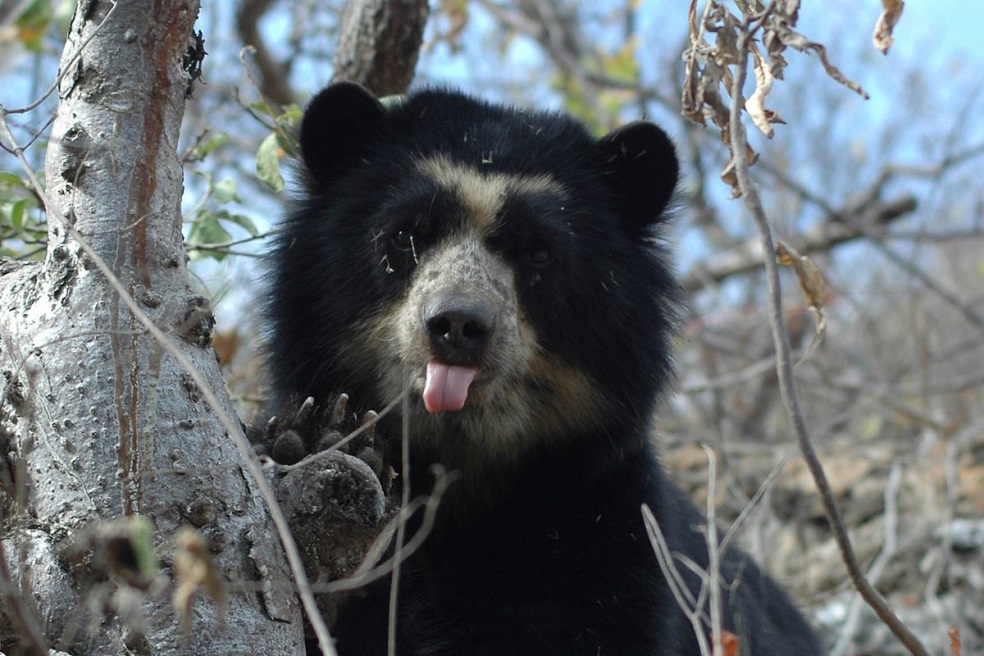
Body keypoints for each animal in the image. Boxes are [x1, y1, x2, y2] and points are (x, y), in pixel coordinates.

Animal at [258, 81, 822, 655]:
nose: (458, 324)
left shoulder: (605, 528)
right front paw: (321, 439)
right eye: (403, 235)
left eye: (539, 253)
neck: (465, 471)